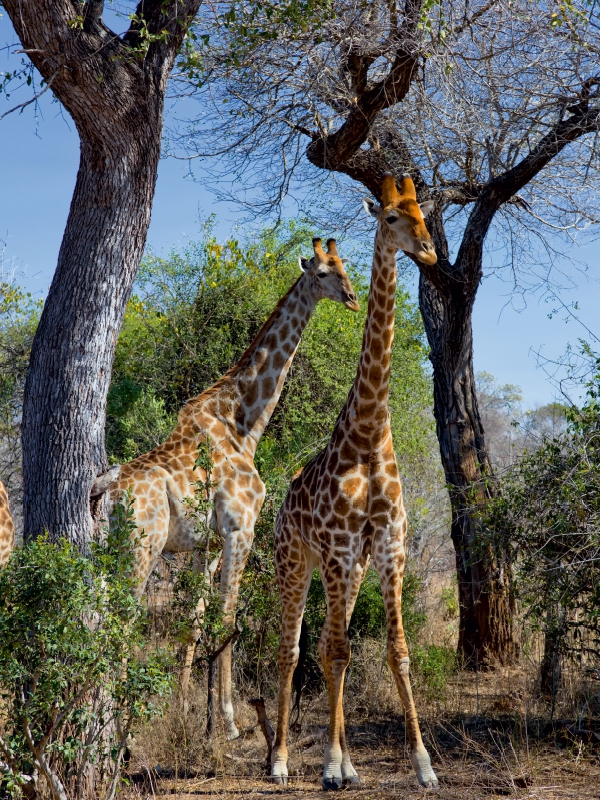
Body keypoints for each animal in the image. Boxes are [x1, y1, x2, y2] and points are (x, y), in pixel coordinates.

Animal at [110, 238, 358, 736]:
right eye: (321, 273)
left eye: (343, 265)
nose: (352, 297)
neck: (243, 423)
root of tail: (101, 493)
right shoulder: (241, 528)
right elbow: (227, 619)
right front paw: (226, 721)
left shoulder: (205, 543)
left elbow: (194, 621)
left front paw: (185, 708)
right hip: (140, 548)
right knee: (121, 621)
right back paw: (118, 721)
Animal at [270, 172, 438, 792]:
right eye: (391, 217)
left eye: (423, 214)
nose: (430, 252)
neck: (368, 431)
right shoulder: (342, 547)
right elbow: (342, 652)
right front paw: (329, 766)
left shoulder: (387, 547)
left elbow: (398, 650)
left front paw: (423, 764)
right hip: (298, 563)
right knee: (295, 648)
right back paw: (283, 761)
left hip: (345, 569)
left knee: (323, 643)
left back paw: (344, 763)